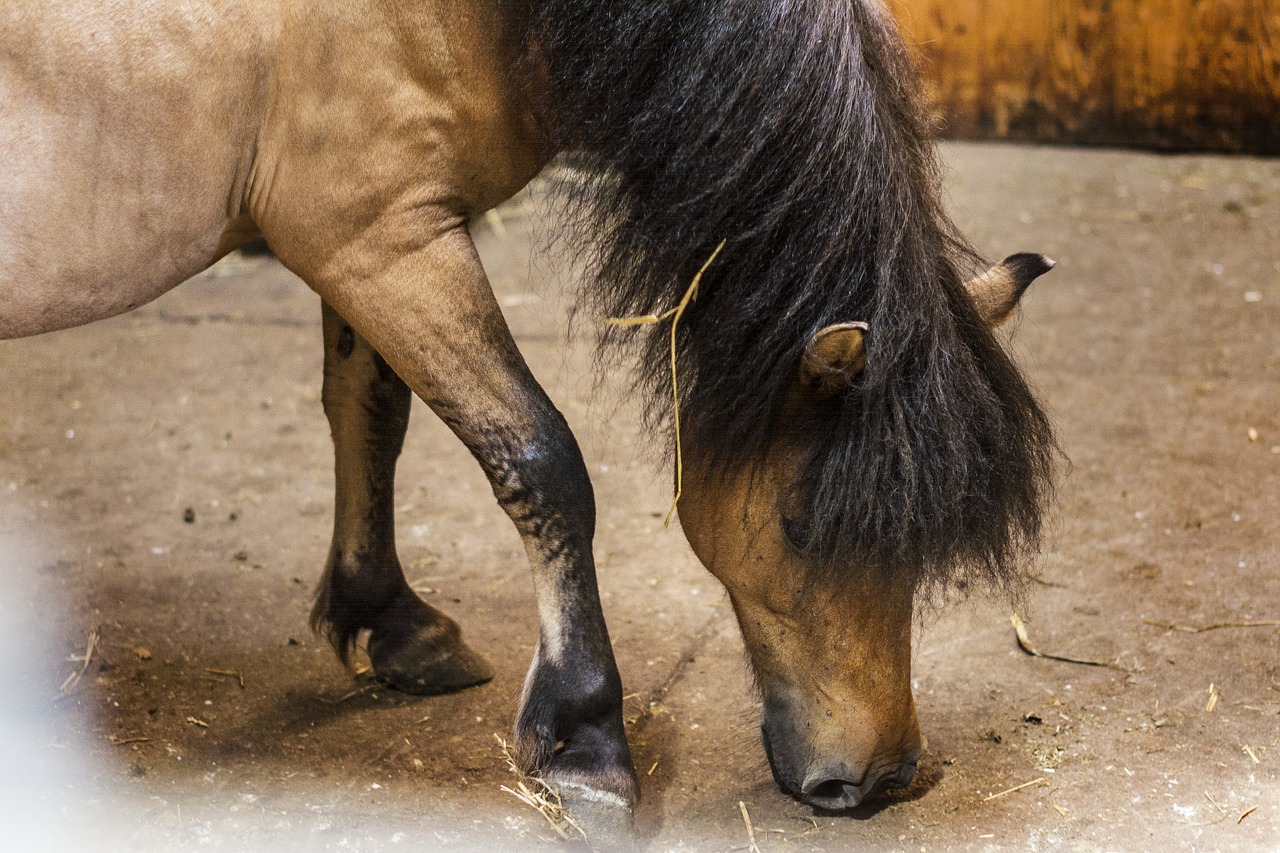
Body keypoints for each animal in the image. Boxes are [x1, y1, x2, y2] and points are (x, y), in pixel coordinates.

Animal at [0, 0, 1049, 824]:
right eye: (799, 523)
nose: (880, 777)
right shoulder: (377, 237)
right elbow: (542, 461)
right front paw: (587, 740)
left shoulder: (369, 241)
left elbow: (372, 410)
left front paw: (391, 619)